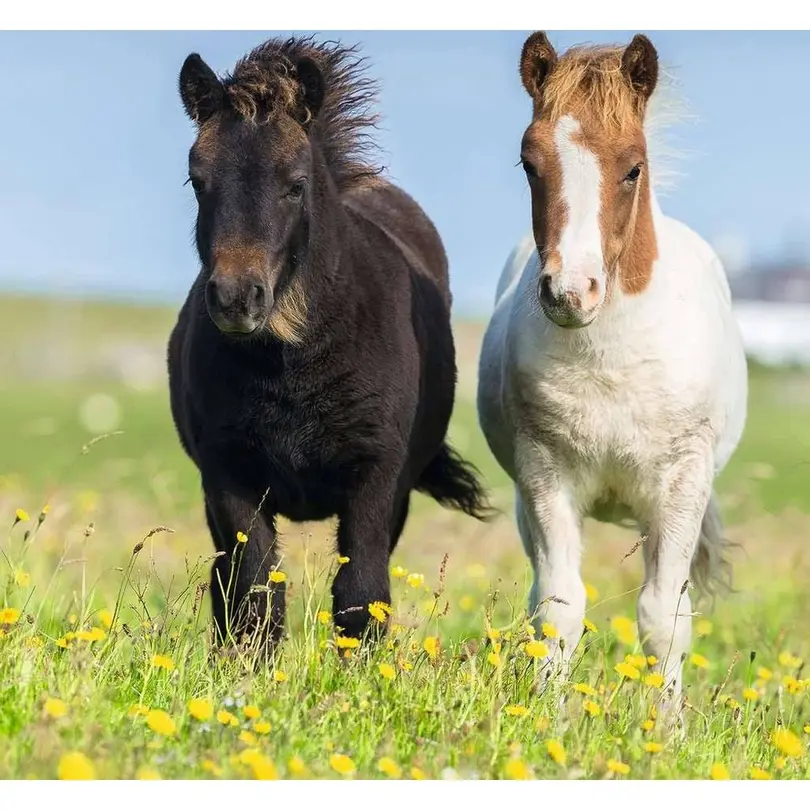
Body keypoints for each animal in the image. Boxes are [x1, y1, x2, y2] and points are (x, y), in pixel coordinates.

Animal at [167, 35, 490, 655]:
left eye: (296, 184)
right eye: (197, 180)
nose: (237, 299)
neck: (292, 365)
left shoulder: (375, 477)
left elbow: (361, 592)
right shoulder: (228, 476)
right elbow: (254, 589)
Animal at [476, 32, 748, 722]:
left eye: (633, 168)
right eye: (529, 163)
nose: (570, 293)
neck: (611, 358)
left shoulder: (681, 484)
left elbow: (663, 618)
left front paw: (666, 731)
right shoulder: (545, 476)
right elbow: (558, 609)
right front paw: (546, 719)